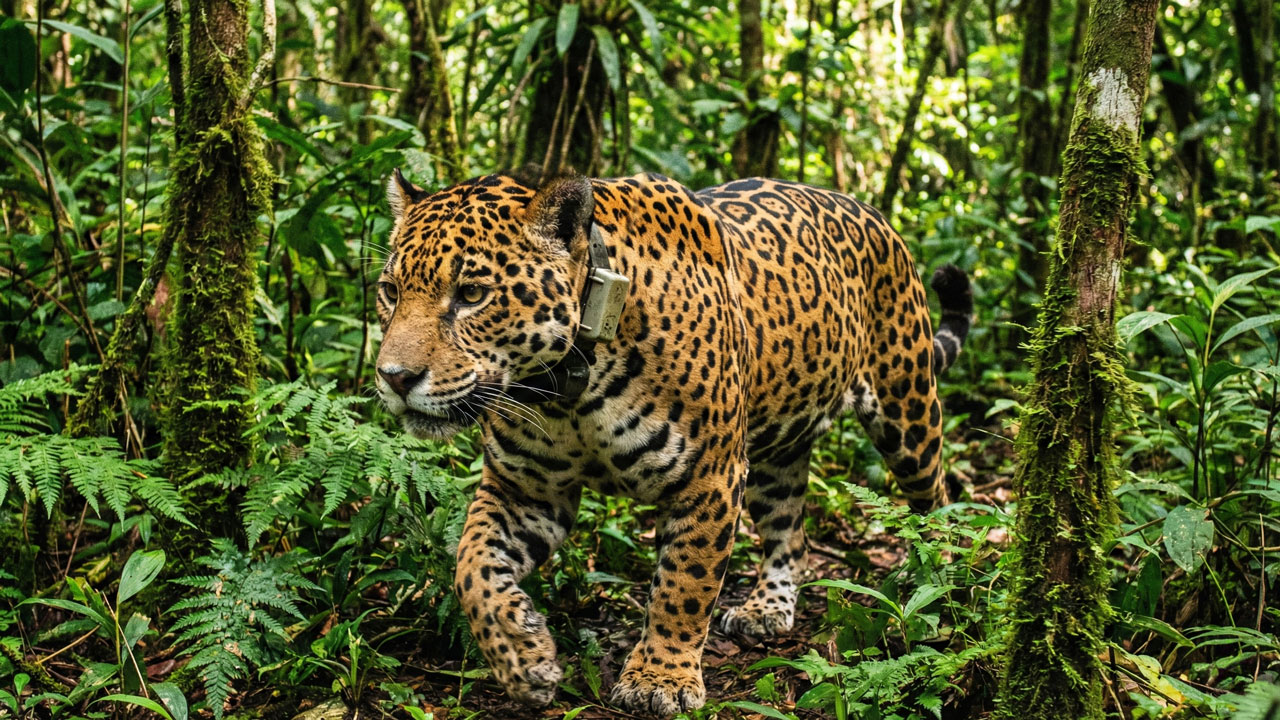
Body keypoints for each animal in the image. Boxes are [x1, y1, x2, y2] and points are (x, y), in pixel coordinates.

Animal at [373, 170, 972, 716]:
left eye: (472, 295)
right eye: (390, 292)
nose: (394, 378)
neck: (569, 387)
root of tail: (871, 212)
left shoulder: (710, 479)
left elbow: (684, 585)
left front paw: (659, 680)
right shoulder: (526, 489)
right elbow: (471, 566)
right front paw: (522, 656)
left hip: (907, 408)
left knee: (937, 496)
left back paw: (940, 578)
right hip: (777, 453)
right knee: (789, 532)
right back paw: (767, 609)